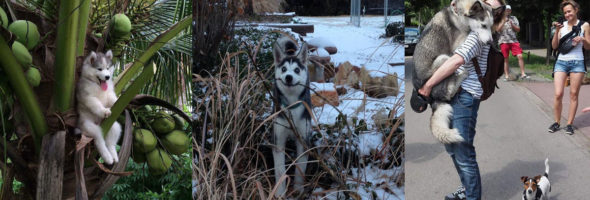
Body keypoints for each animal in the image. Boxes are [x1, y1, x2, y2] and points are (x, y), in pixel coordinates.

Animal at [272, 36, 312, 196]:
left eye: (296, 70)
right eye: (283, 69)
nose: (288, 77)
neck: (291, 107)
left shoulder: (303, 138)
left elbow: (301, 167)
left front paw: (298, 189)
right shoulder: (278, 140)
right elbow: (279, 169)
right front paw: (280, 192)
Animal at [414, 0, 502, 144]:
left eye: (490, 26)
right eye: (483, 25)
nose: (489, 42)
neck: (459, 15)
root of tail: (433, 98)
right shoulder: (458, 44)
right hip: (443, 58)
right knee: (449, 91)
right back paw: (462, 75)